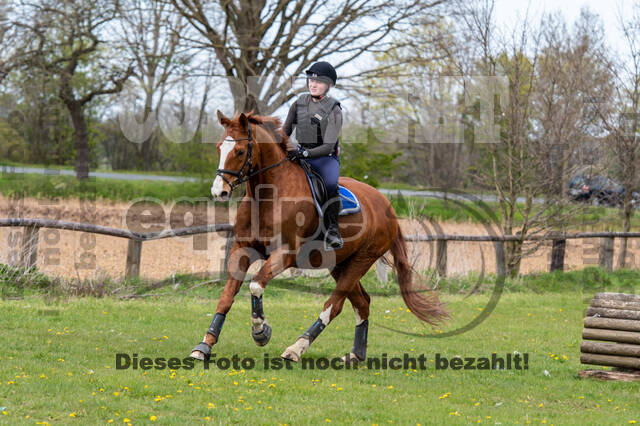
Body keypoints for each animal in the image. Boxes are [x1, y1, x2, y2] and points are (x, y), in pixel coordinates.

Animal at [190, 110, 448, 362]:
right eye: (219, 148)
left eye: (240, 151)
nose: (219, 192)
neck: (267, 197)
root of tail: (387, 206)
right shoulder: (242, 250)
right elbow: (226, 296)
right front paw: (204, 345)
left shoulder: (285, 254)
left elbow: (255, 285)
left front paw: (261, 332)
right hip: (340, 264)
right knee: (362, 303)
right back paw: (355, 354)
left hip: (361, 260)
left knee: (333, 306)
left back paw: (296, 348)